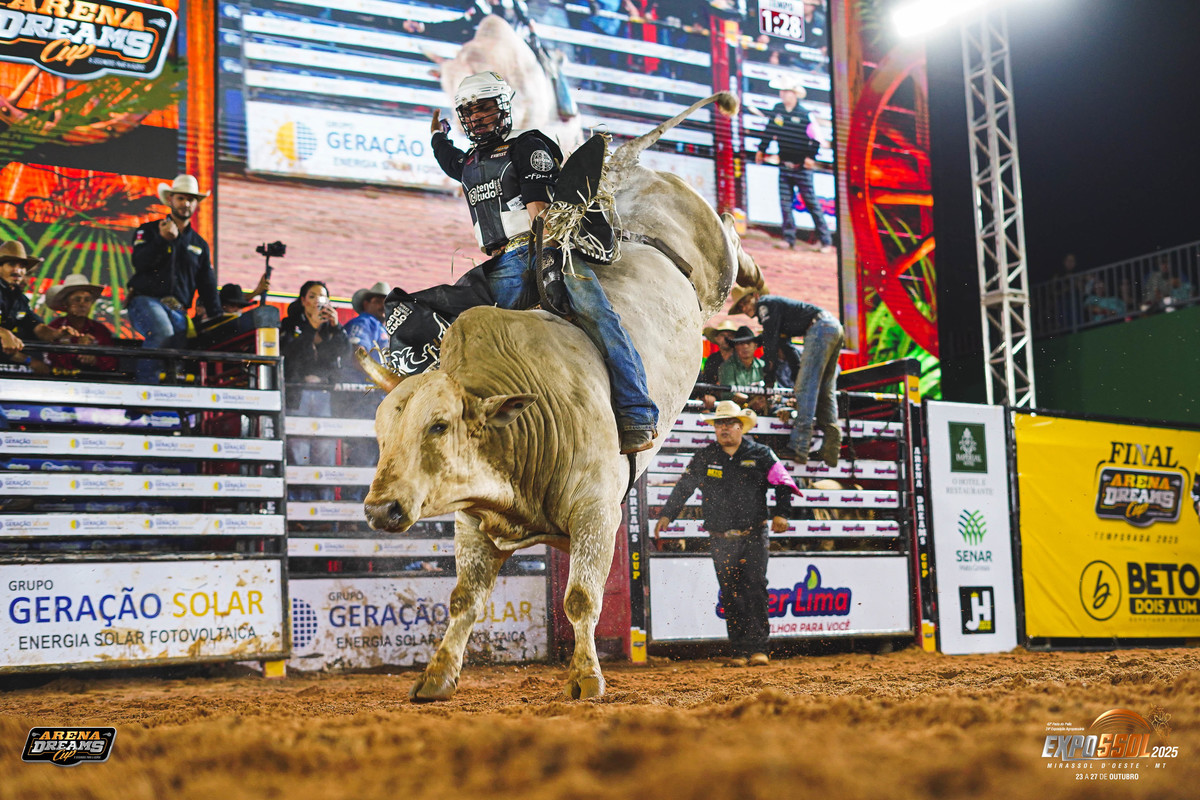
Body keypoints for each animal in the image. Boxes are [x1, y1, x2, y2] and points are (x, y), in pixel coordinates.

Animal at [360, 93, 754, 701]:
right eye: (380, 433)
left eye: (439, 425)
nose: (381, 508)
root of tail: (616, 172)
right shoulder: (473, 522)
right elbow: (464, 600)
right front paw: (437, 676)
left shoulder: (597, 513)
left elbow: (581, 598)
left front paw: (587, 677)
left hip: (712, 257)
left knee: (731, 241)